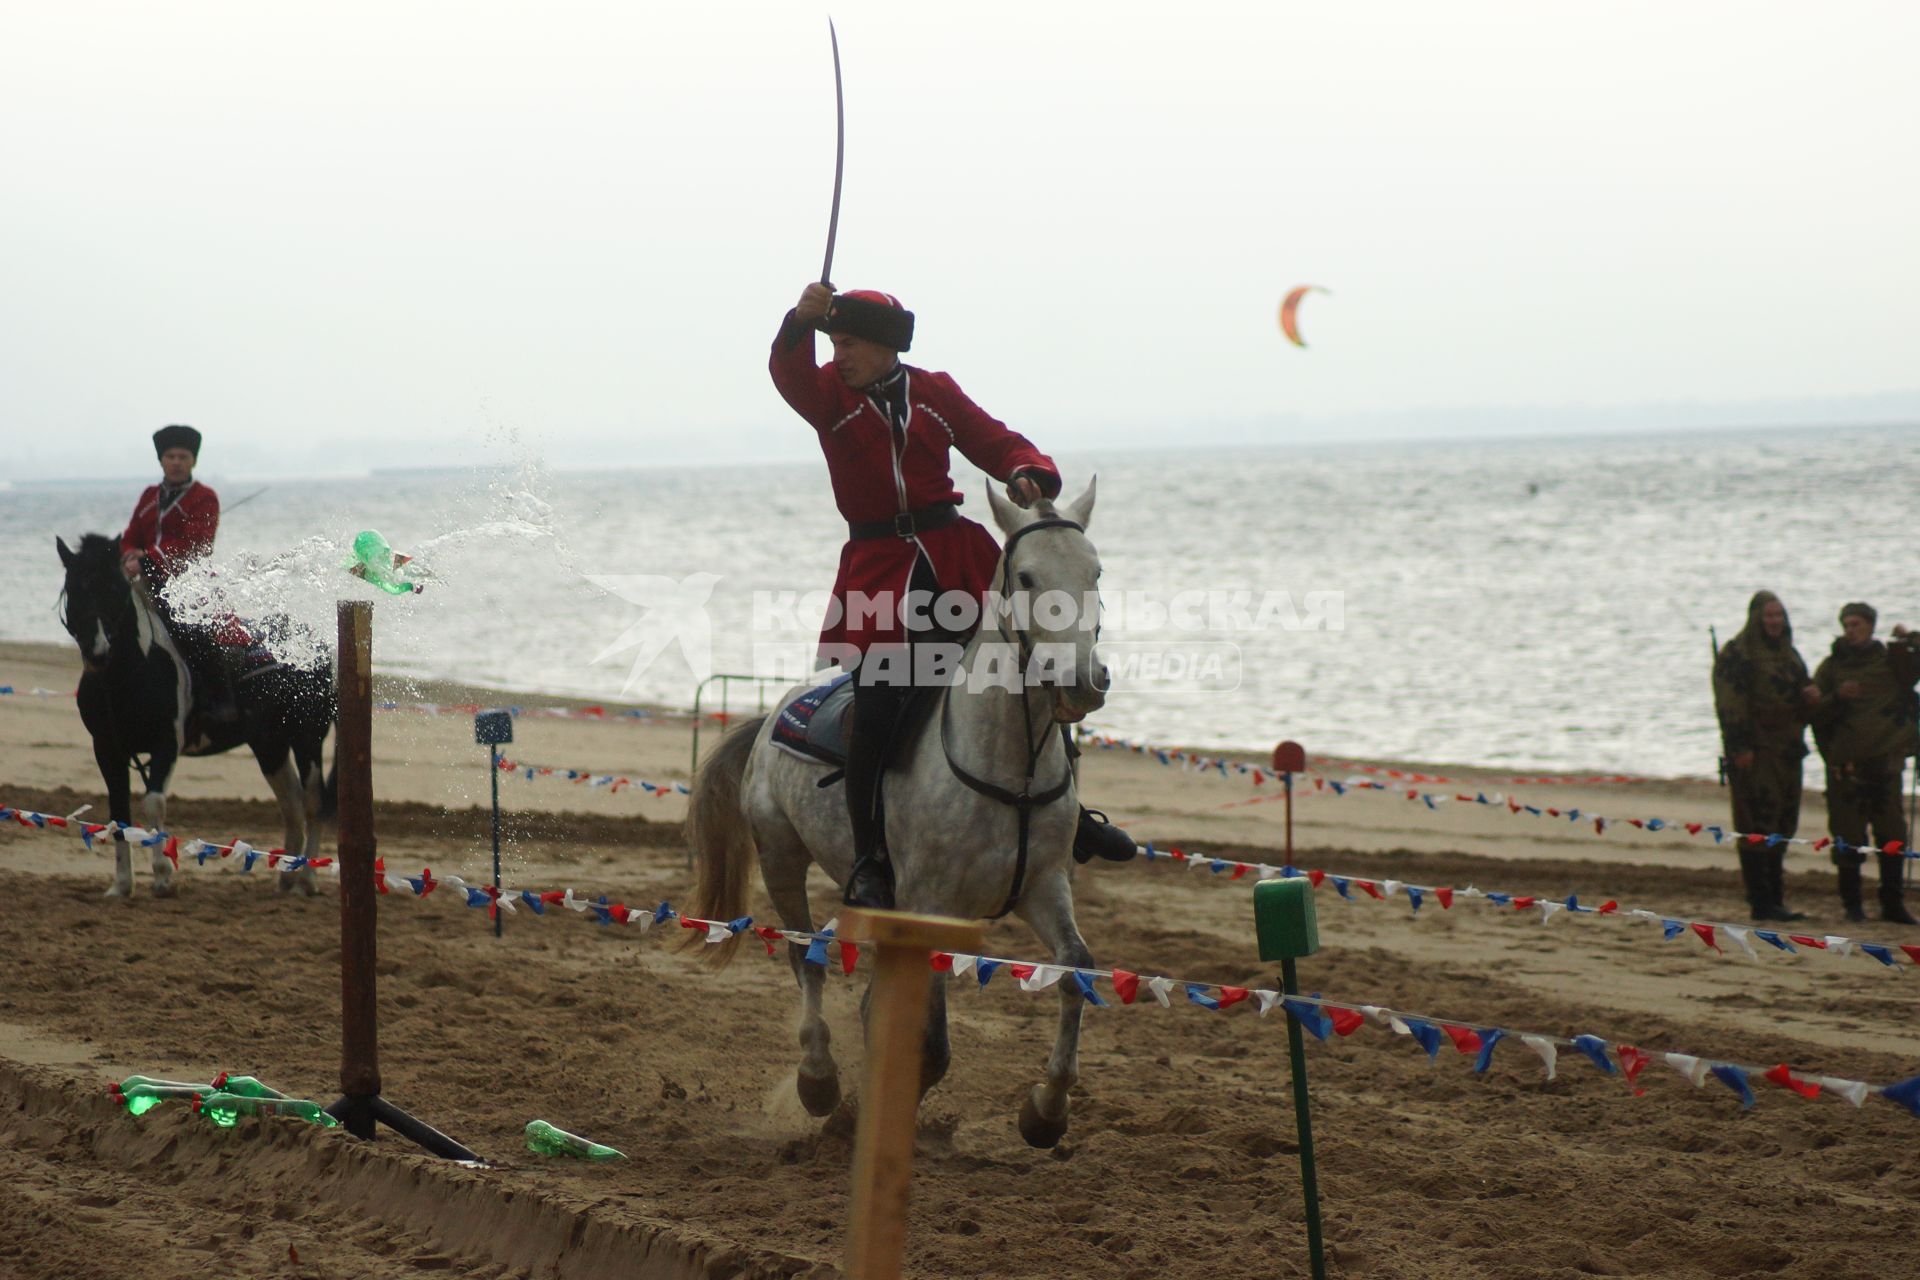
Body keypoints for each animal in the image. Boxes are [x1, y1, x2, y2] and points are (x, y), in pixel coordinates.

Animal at [55, 537, 334, 898]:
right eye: (74, 589)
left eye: (114, 589)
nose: (97, 652)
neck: (132, 672)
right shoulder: (107, 749)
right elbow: (119, 815)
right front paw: (121, 884)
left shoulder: (165, 744)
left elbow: (153, 804)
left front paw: (162, 877)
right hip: (270, 745)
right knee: (292, 805)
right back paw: (287, 876)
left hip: (307, 737)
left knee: (313, 803)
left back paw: (307, 879)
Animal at [691, 483, 1113, 1151]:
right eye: (1026, 576)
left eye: (1095, 572)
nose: (1080, 682)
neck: (1009, 764)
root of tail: (776, 711)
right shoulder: (928, 901)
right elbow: (931, 1044)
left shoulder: (1043, 887)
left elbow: (1075, 969)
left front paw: (1046, 1111)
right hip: (781, 855)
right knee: (803, 957)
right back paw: (818, 1080)